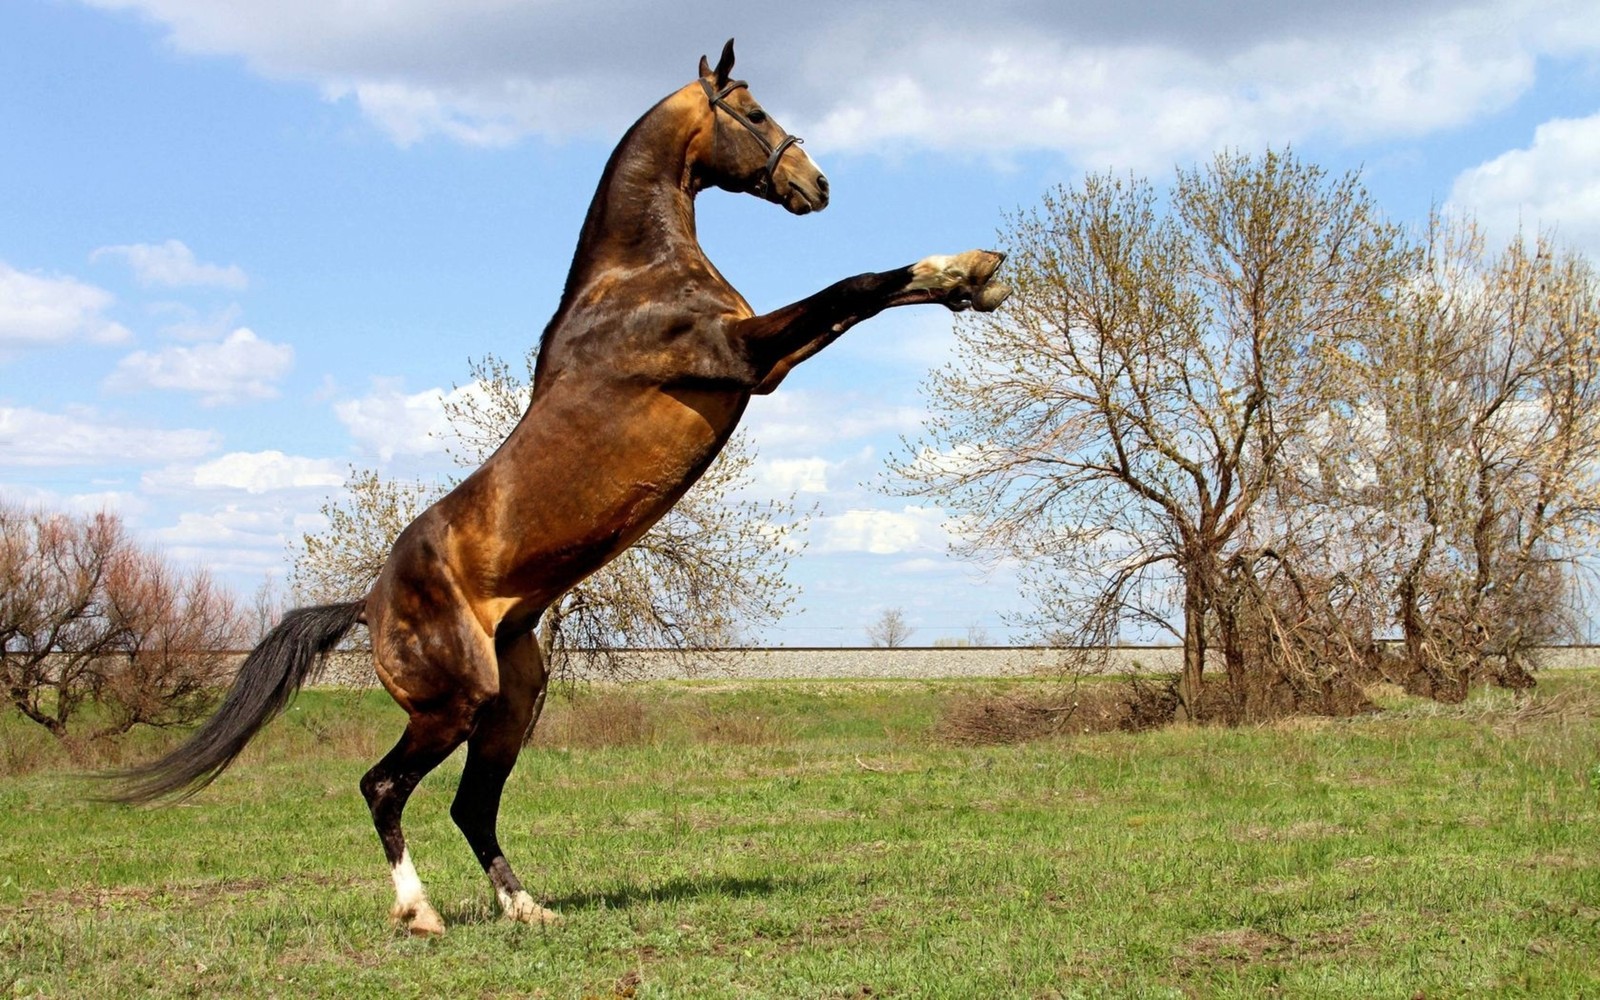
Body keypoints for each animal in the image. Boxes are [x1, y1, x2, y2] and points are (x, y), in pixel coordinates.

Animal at [118, 41, 1004, 934]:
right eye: (753, 113)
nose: (816, 185)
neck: (637, 279)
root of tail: (366, 604)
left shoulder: (768, 364)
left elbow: (864, 300)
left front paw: (974, 280)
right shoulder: (742, 356)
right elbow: (853, 288)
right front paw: (969, 269)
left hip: (513, 702)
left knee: (471, 804)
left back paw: (527, 908)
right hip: (453, 702)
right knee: (383, 786)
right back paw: (420, 912)